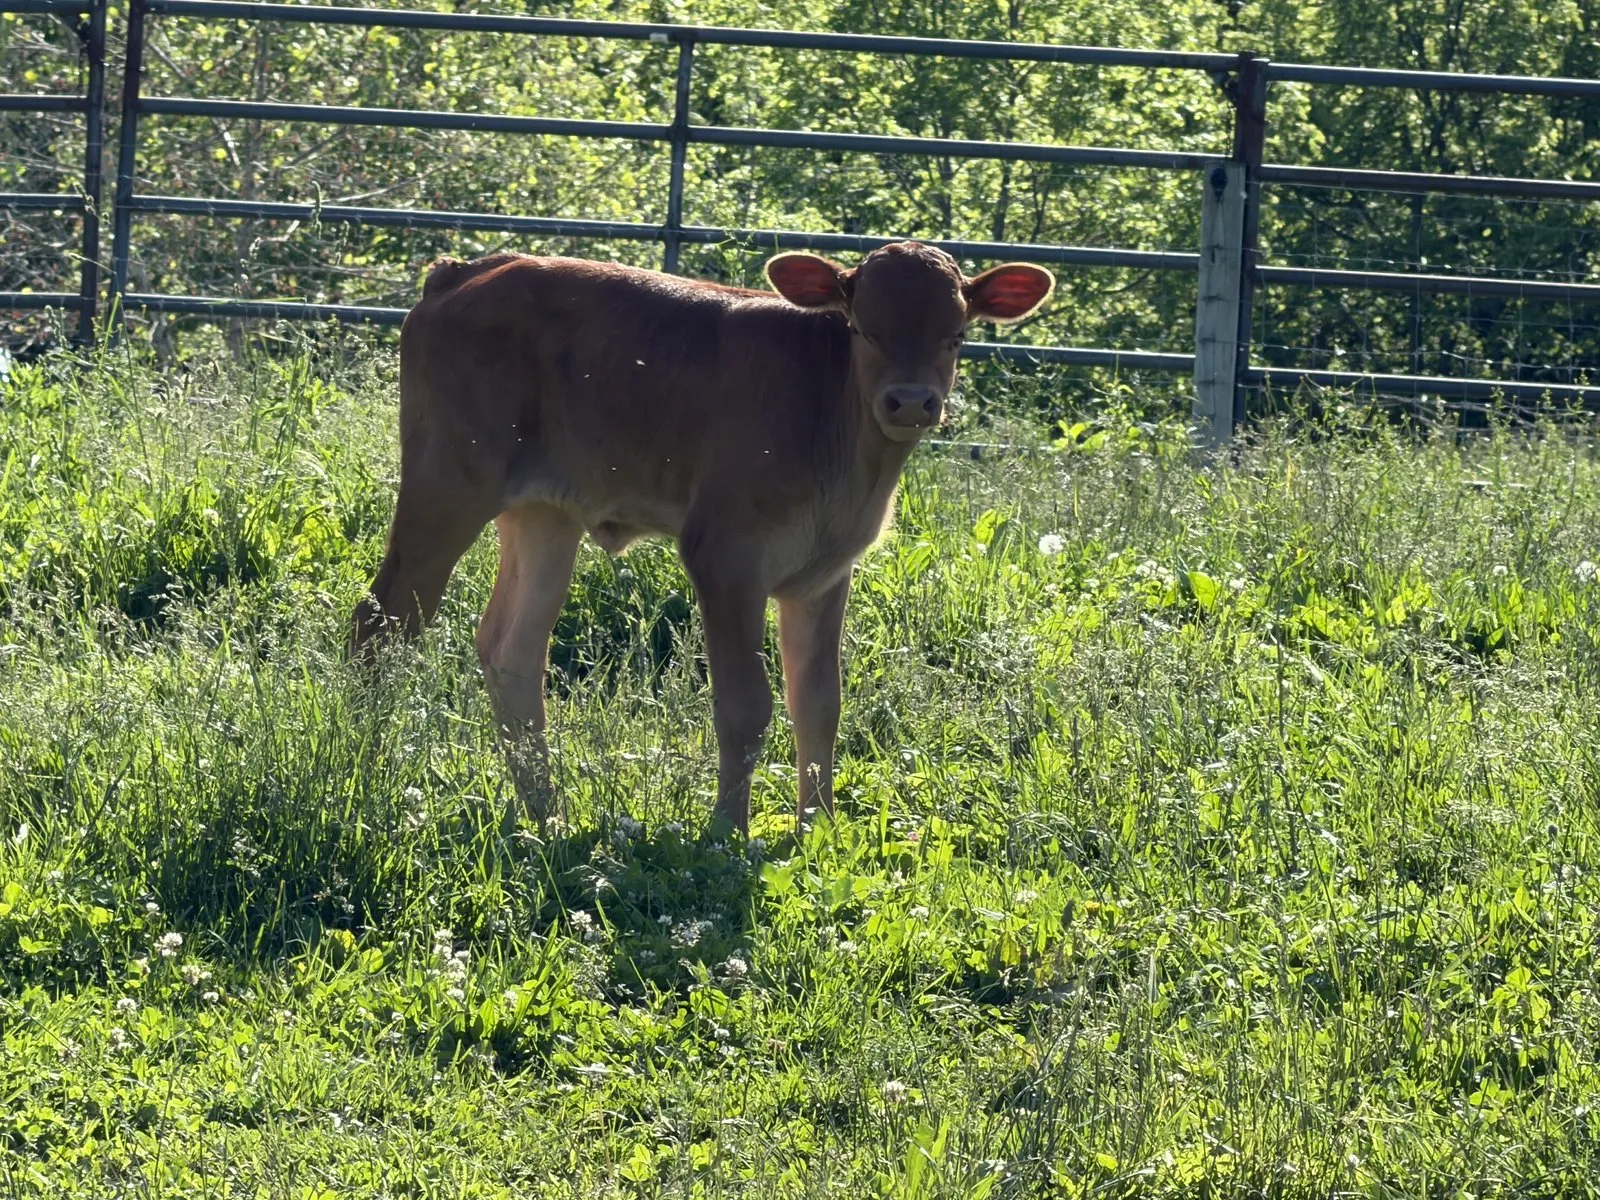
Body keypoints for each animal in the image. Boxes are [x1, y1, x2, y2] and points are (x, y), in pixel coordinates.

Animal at [350, 241, 1055, 834]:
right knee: (382, 621)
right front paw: (726, 833)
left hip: (545, 511)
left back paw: (545, 814)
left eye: (957, 334)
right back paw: (364, 765)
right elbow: (745, 706)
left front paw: (818, 831)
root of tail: (466, 271)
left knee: (512, 650)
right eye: (862, 327)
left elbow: (818, 702)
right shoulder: (726, 555)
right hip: (447, 482)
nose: (910, 402)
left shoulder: (825, 573)